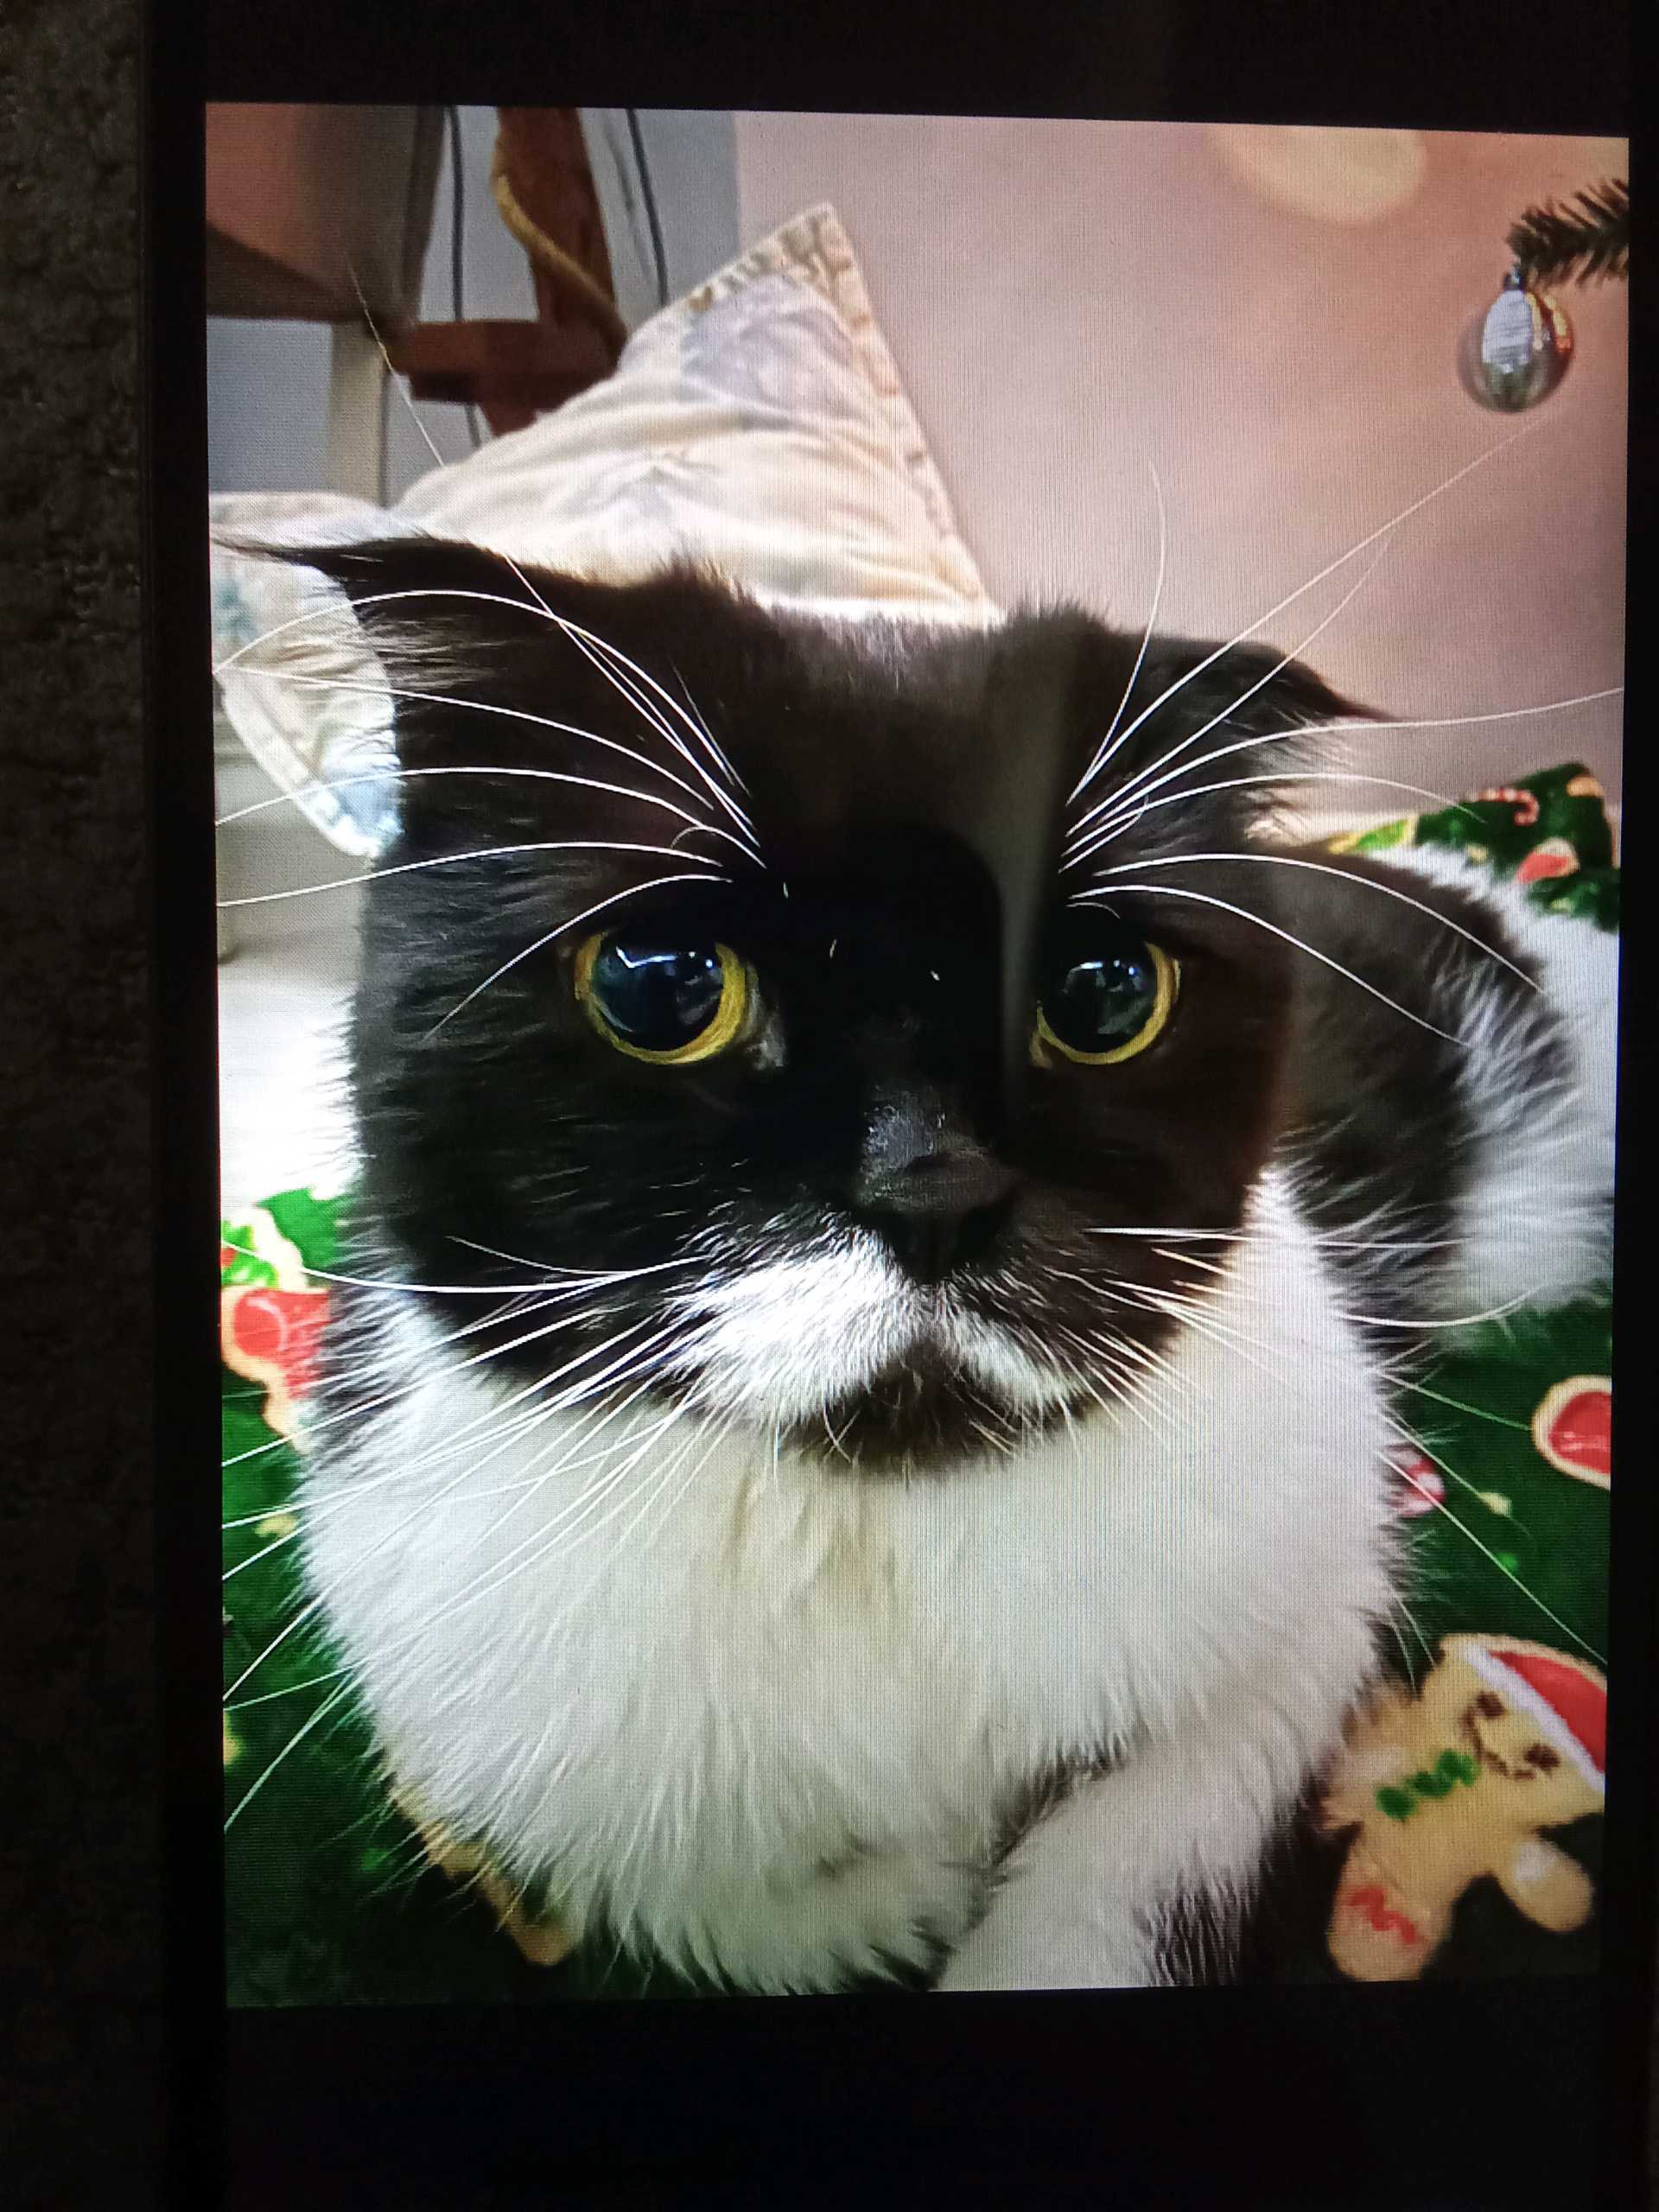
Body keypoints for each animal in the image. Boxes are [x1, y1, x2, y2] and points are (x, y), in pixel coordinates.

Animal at [264, 532, 1616, 1995]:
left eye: (1103, 993)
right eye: (664, 985)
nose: (939, 1190)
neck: (869, 1523)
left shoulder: (1312, 1590)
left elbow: (1131, 1853)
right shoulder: (464, 1698)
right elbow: (674, 1861)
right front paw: (904, 1896)